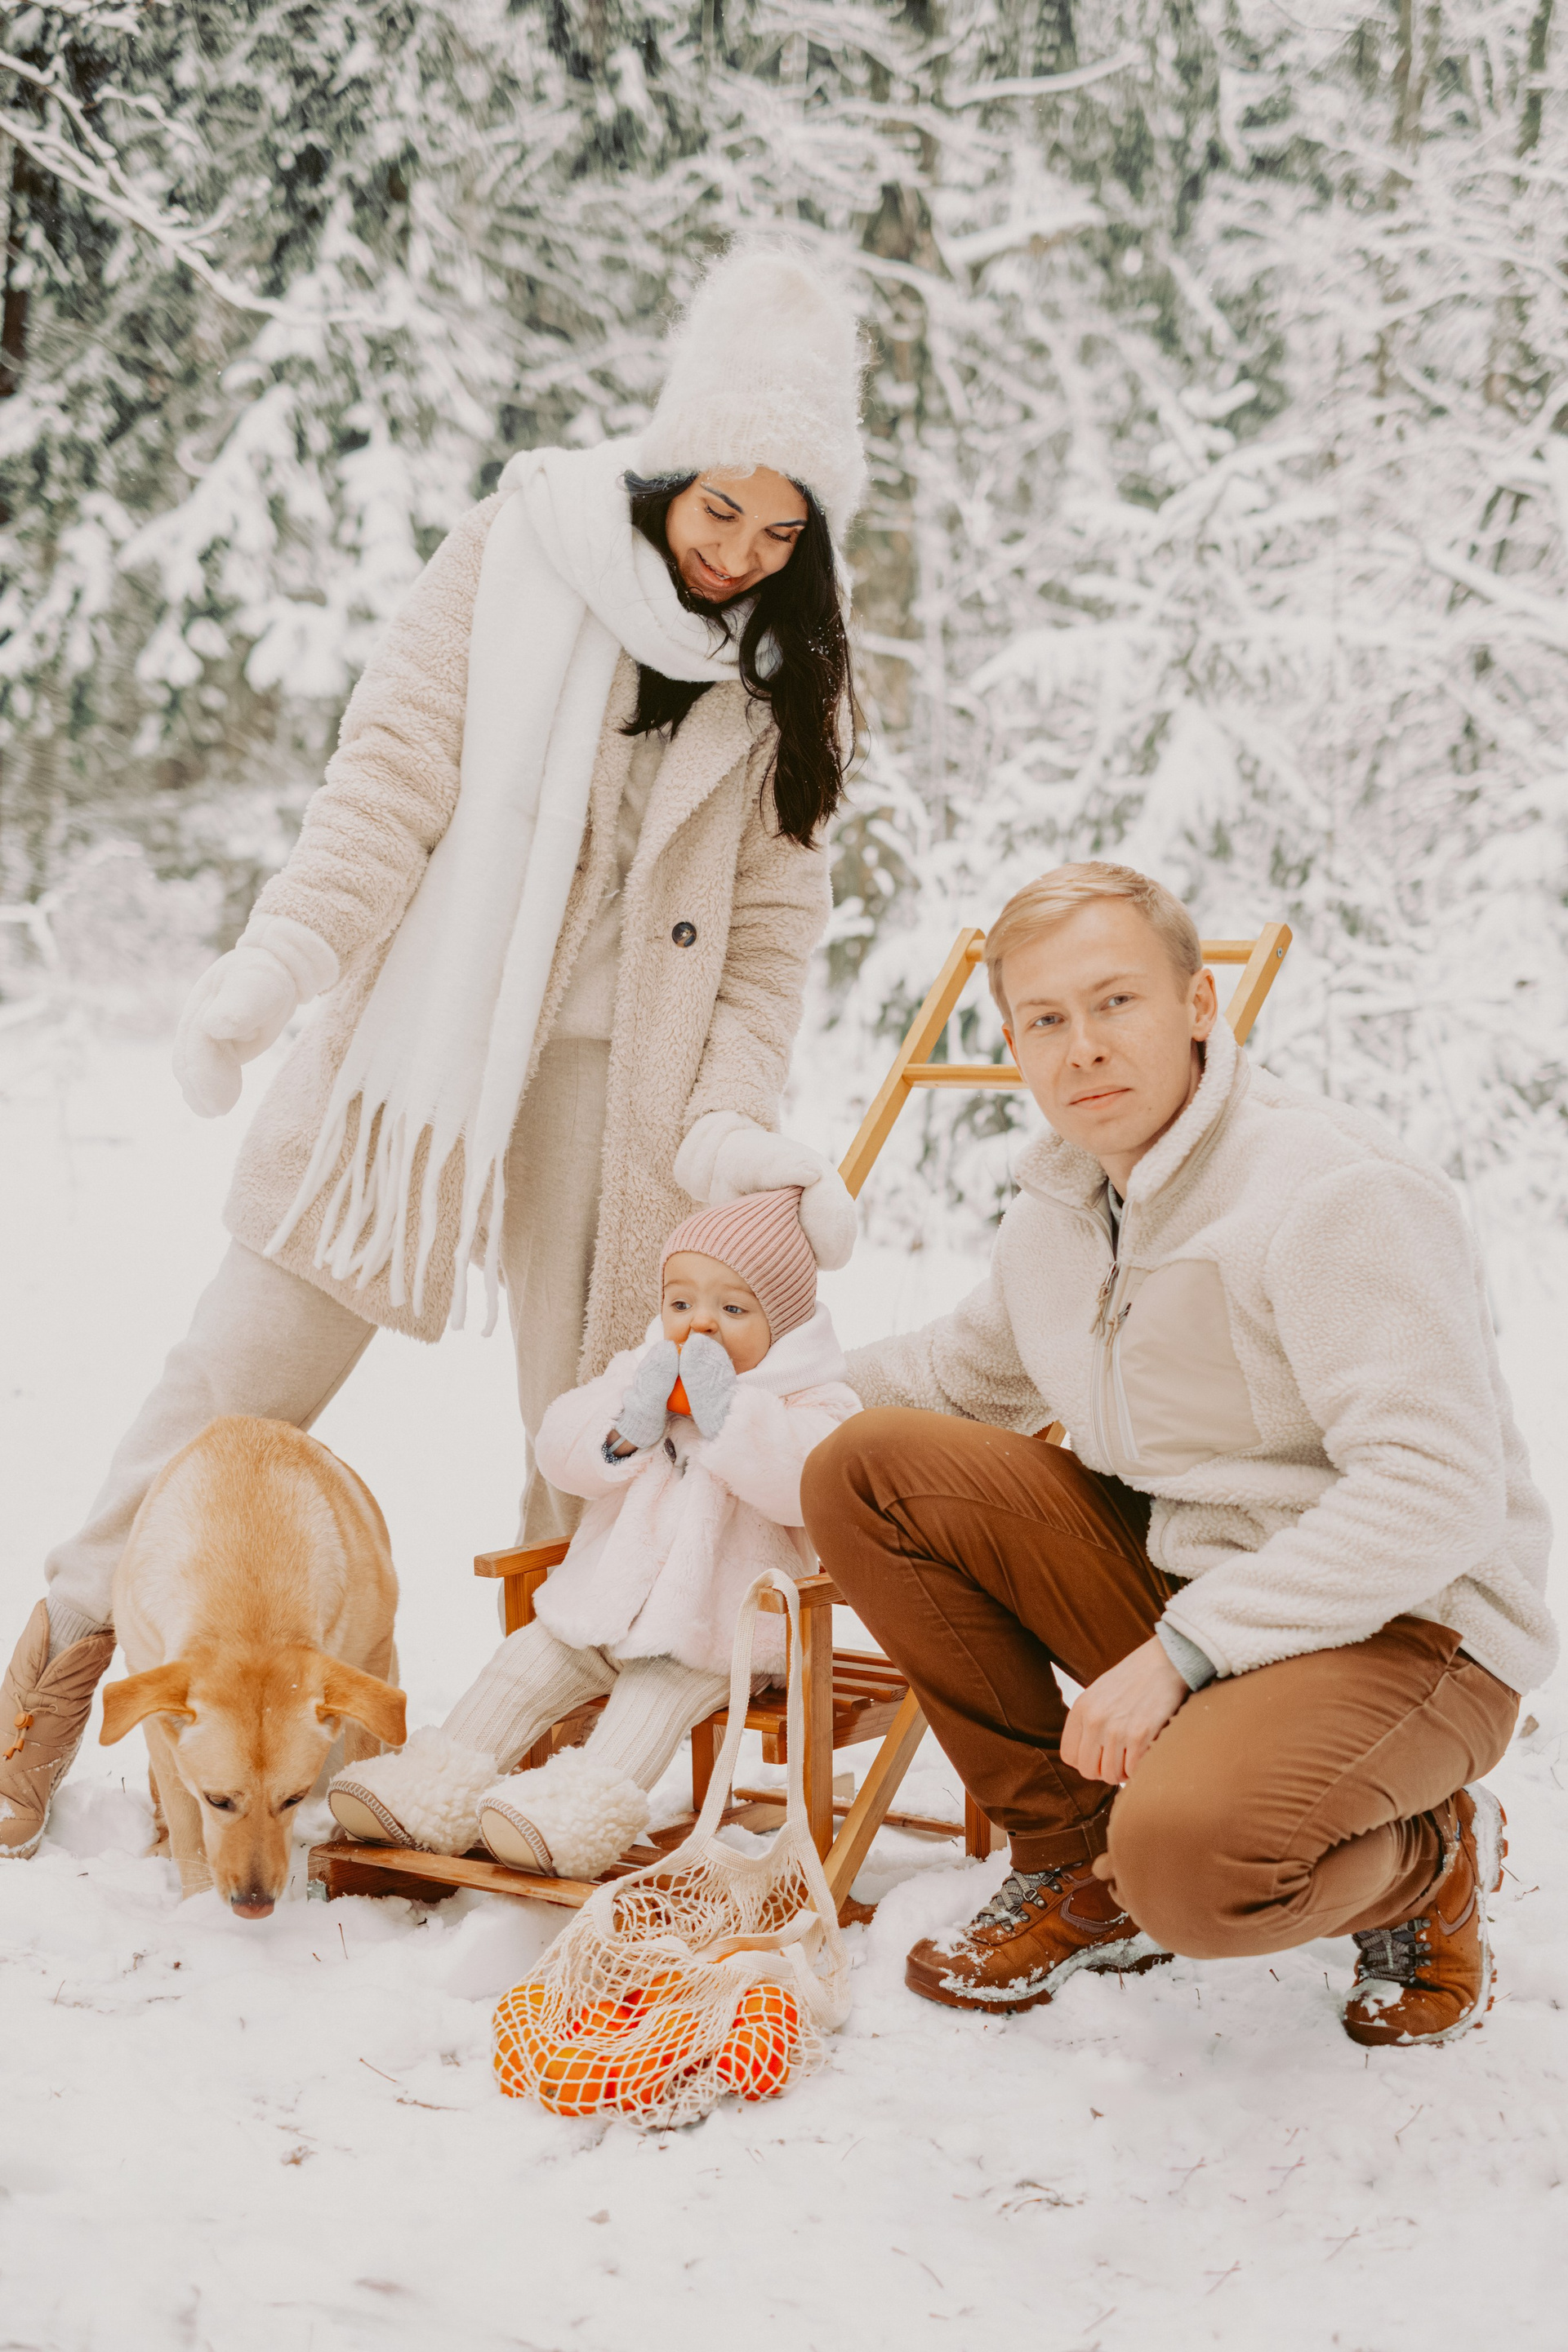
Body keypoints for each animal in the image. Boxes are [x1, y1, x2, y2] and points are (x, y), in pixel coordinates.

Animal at [99, 1416, 405, 1917]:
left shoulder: (372, 1661)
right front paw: (198, 1908)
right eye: (218, 1800)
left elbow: (359, 1765)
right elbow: (188, 1830)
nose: (254, 1906)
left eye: (292, 1798)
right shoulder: (152, 1703)